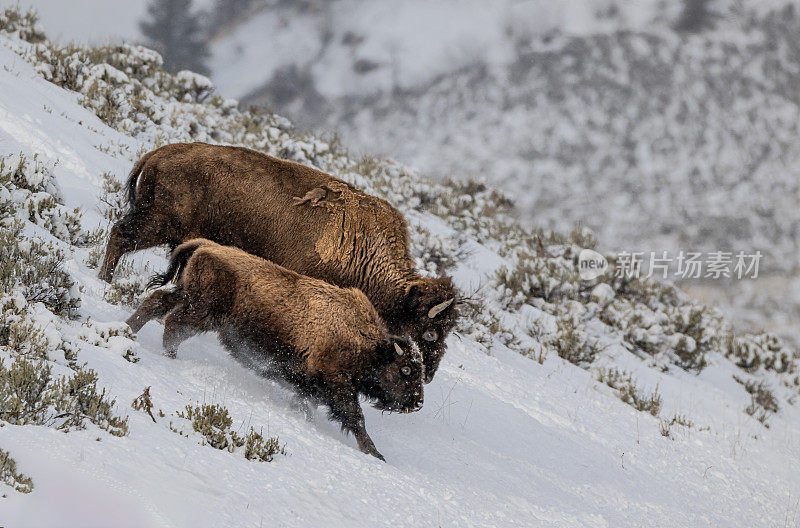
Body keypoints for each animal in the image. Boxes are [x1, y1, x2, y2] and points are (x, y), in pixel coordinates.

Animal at [103, 142, 460, 382]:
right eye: (430, 334)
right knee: (119, 236)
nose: (429, 374)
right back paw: (104, 281)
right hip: (156, 225)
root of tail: (159, 152)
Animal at [126, 237, 424, 460]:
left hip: (188, 296)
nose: (418, 403)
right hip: (203, 309)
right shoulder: (336, 385)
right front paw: (375, 453)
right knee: (173, 323)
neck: (369, 343)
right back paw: (169, 355)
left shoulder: (310, 384)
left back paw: (130, 330)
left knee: (157, 303)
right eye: (406, 369)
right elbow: (355, 418)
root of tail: (206, 246)